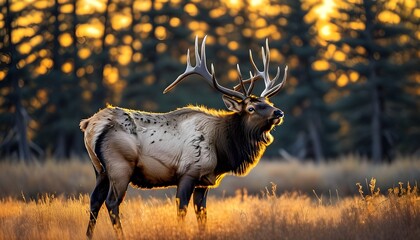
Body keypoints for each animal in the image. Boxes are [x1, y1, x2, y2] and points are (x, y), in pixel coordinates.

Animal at [80, 35, 288, 238]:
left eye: (268, 103)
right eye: (251, 108)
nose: (278, 112)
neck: (222, 147)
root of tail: (89, 124)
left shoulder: (204, 182)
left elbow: (202, 215)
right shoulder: (189, 172)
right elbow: (182, 210)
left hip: (100, 170)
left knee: (94, 201)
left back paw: (88, 235)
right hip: (120, 165)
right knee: (112, 202)